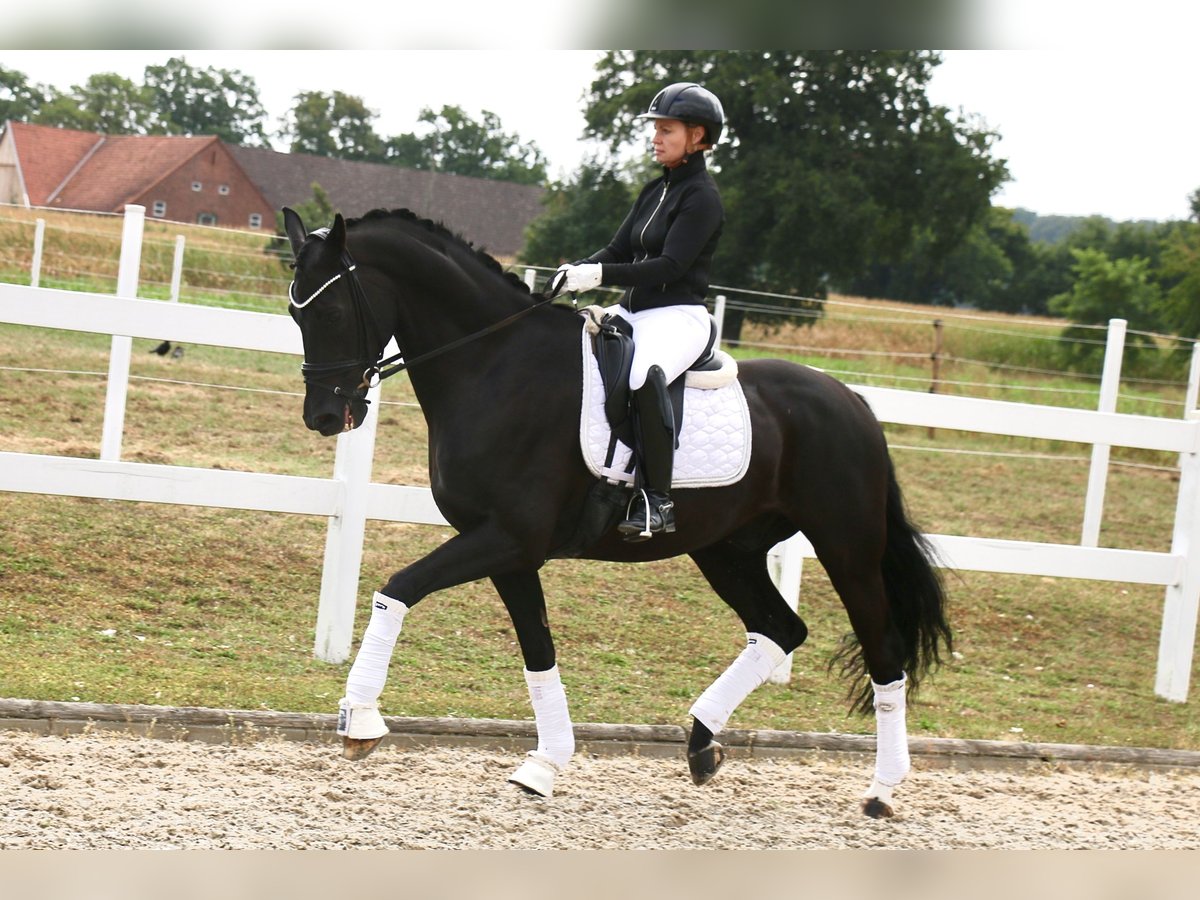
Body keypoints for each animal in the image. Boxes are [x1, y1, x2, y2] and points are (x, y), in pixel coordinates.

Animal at [282, 206, 951, 818]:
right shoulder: (506, 551)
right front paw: (544, 765)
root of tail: (853, 400)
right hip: (727, 550)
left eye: (332, 312)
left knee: (883, 650)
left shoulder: (507, 538)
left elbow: (398, 589)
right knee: (781, 629)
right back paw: (702, 745)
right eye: (294, 314)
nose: (325, 416)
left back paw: (882, 790)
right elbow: (538, 652)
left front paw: (360, 719)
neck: (494, 363)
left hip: (846, 546)